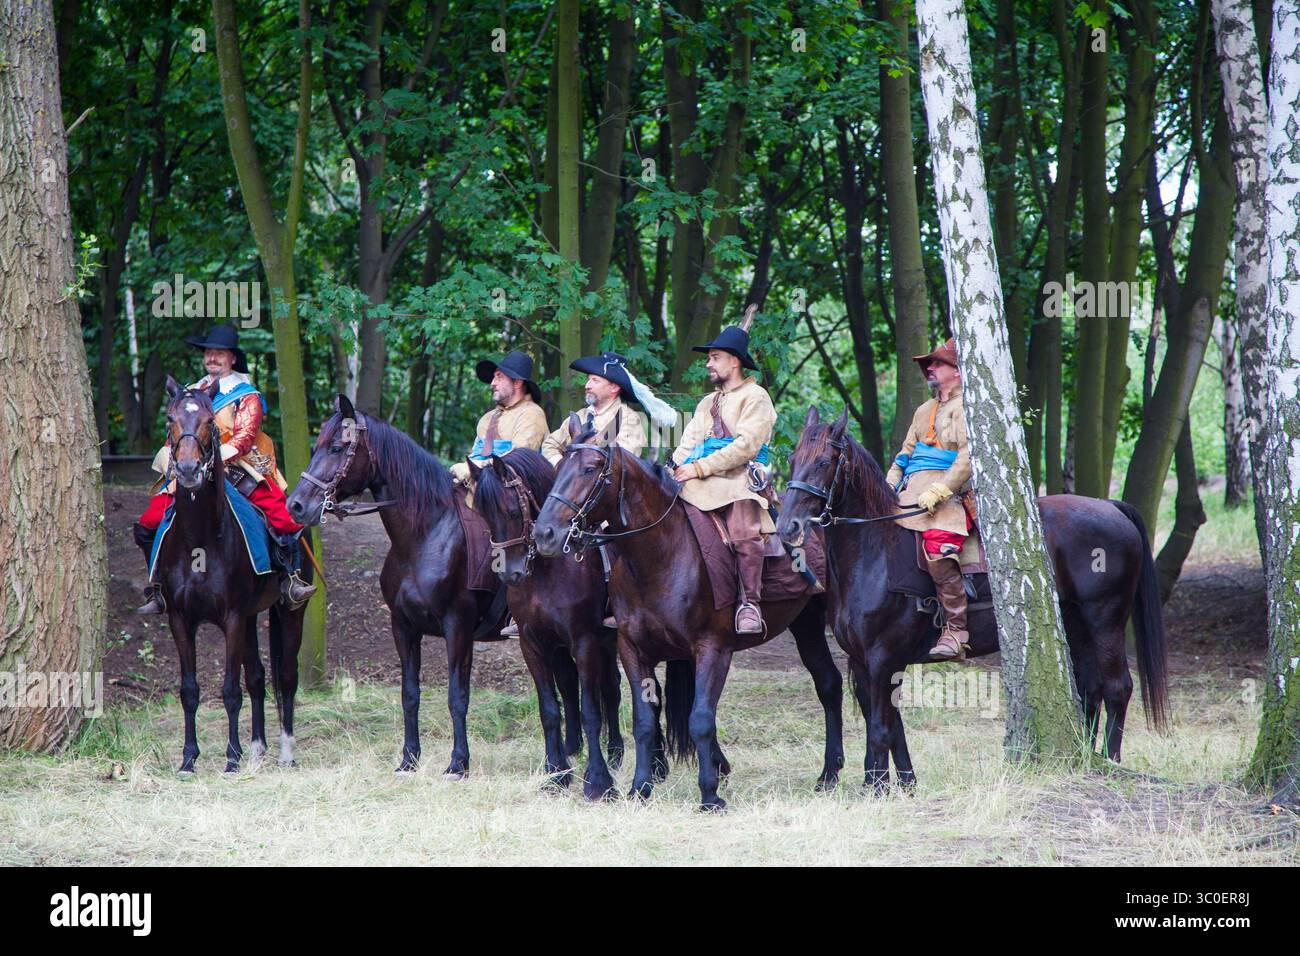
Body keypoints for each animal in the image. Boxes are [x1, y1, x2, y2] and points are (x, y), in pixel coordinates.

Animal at [152, 376, 308, 773]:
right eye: (170, 419)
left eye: (209, 421)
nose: (188, 470)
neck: (200, 541)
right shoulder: (181, 619)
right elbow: (190, 690)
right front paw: (189, 758)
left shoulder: (233, 618)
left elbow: (230, 690)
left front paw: (231, 757)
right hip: (253, 617)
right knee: (257, 676)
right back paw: (257, 748)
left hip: (289, 610)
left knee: (287, 676)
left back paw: (285, 751)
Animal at [286, 394, 517, 777]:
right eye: (316, 446)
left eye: (337, 447)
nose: (296, 505)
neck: (426, 534)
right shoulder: (403, 626)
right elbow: (410, 694)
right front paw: (409, 758)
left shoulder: (458, 627)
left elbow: (457, 696)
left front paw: (458, 762)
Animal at [469, 449, 625, 799]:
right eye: (484, 516)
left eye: (513, 510)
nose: (510, 574)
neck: (548, 571)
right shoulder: (533, 644)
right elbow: (550, 708)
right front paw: (556, 772)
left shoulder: (585, 641)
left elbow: (592, 709)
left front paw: (598, 779)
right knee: (569, 686)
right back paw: (573, 748)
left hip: (607, 643)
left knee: (610, 689)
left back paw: (615, 752)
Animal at [532, 413, 845, 811]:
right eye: (558, 469)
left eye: (589, 468)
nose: (545, 534)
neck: (659, 554)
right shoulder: (632, 649)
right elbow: (645, 721)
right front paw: (640, 788)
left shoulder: (713, 648)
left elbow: (700, 719)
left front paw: (710, 794)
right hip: (804, 625)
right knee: (829, 683)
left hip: (811, 622)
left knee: (830, 686)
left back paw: (829, 773)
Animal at [777, 407, 1169, 793]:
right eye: (793, 459)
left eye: (824, 461)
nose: (787, 527)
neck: (875, 554)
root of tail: (1111, 507)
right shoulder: (863, 661)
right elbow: (890, 723)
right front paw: (903, 782)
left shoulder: (882, 658)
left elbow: (881, 727)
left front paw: (876, 787)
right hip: (1076, 627)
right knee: (1090, 689)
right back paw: (1086, 757)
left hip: (1105, 621)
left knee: (1117, 688)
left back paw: (1110, 761)